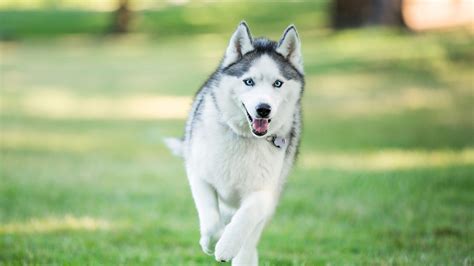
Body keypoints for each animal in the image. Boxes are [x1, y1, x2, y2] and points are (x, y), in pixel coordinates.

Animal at [165, 21, 306, 264]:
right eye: (248, 81)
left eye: (277, 83)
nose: (263, 109)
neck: (244, 137)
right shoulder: (198, 174)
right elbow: (212, 220)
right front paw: (214, 238)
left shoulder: (264, 192)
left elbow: (246, 216)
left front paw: (227, 245)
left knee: (249, 240)